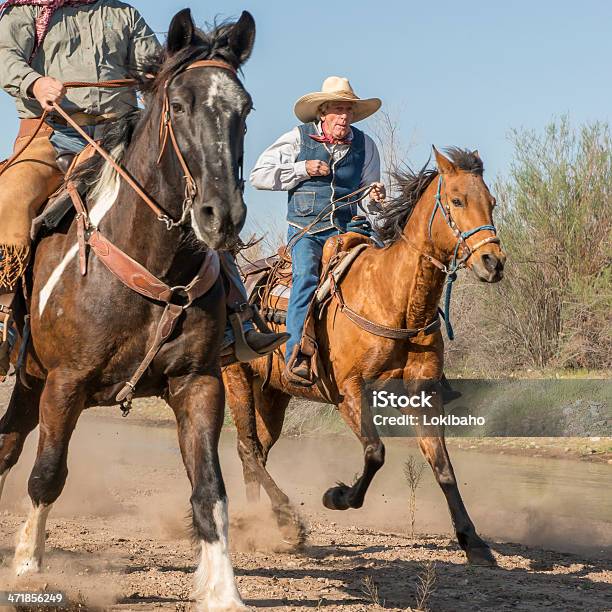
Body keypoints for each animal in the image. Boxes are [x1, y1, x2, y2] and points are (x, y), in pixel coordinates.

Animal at [0, 9, 253, 612]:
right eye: (178, 105)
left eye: (245, 108)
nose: (221, 215)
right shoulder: (66, 383)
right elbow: (47, 474)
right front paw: (27, 568)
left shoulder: (198, 382)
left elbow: (209, 490)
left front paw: (222, 590)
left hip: (27, 382)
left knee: (4, 445)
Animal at [225, 147, 506, 564]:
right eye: (457, 200)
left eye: (491, 202)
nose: (494, 262)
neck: (395, 298)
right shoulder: (350, 392)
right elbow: (375, 452)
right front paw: (336, 496)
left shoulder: (423, 393)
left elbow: (441, 464)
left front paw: (473, 541)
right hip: (237, 379)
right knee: (247, 447)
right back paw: (286, 523)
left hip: (272, 393)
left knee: (256, 451)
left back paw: (259, 522)